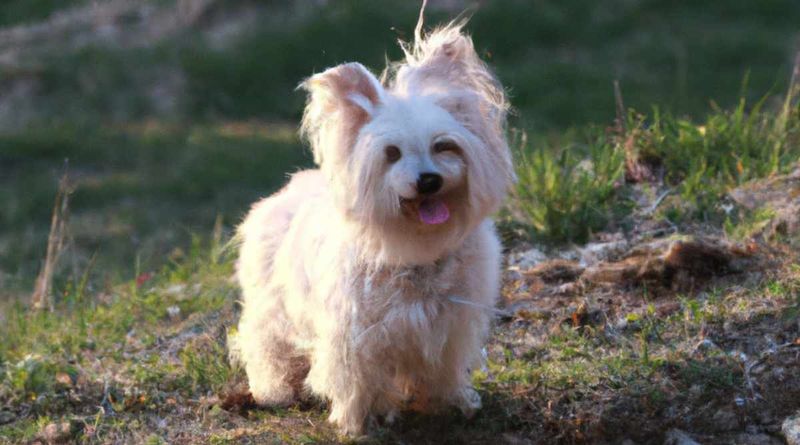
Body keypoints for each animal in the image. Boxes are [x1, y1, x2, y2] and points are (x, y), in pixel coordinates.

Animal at [234, 13, 516, 434]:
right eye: (392, 154)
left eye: (444, 146)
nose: (428, 180)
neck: (414, 244)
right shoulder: (354, 334)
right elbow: (357, 380)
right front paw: (360, 422)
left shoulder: (447, 327)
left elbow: (443, 370)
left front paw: (450, 402)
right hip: (271, 303)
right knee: (265, 341)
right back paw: (275, 390)